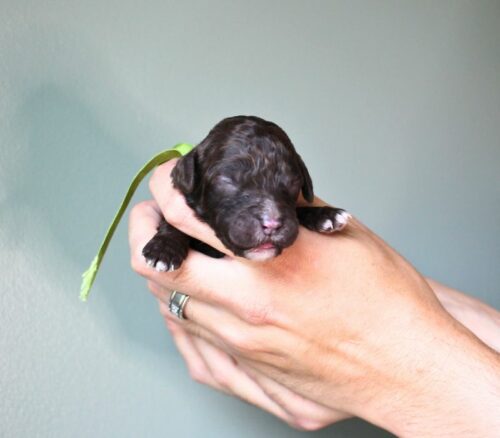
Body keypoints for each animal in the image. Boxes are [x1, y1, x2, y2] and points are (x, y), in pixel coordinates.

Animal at [143, 114, 350, 270]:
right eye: (227, 181)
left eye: (293, 183)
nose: (272, 224)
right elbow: (170, 222)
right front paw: (164, 249)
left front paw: (326, 214)